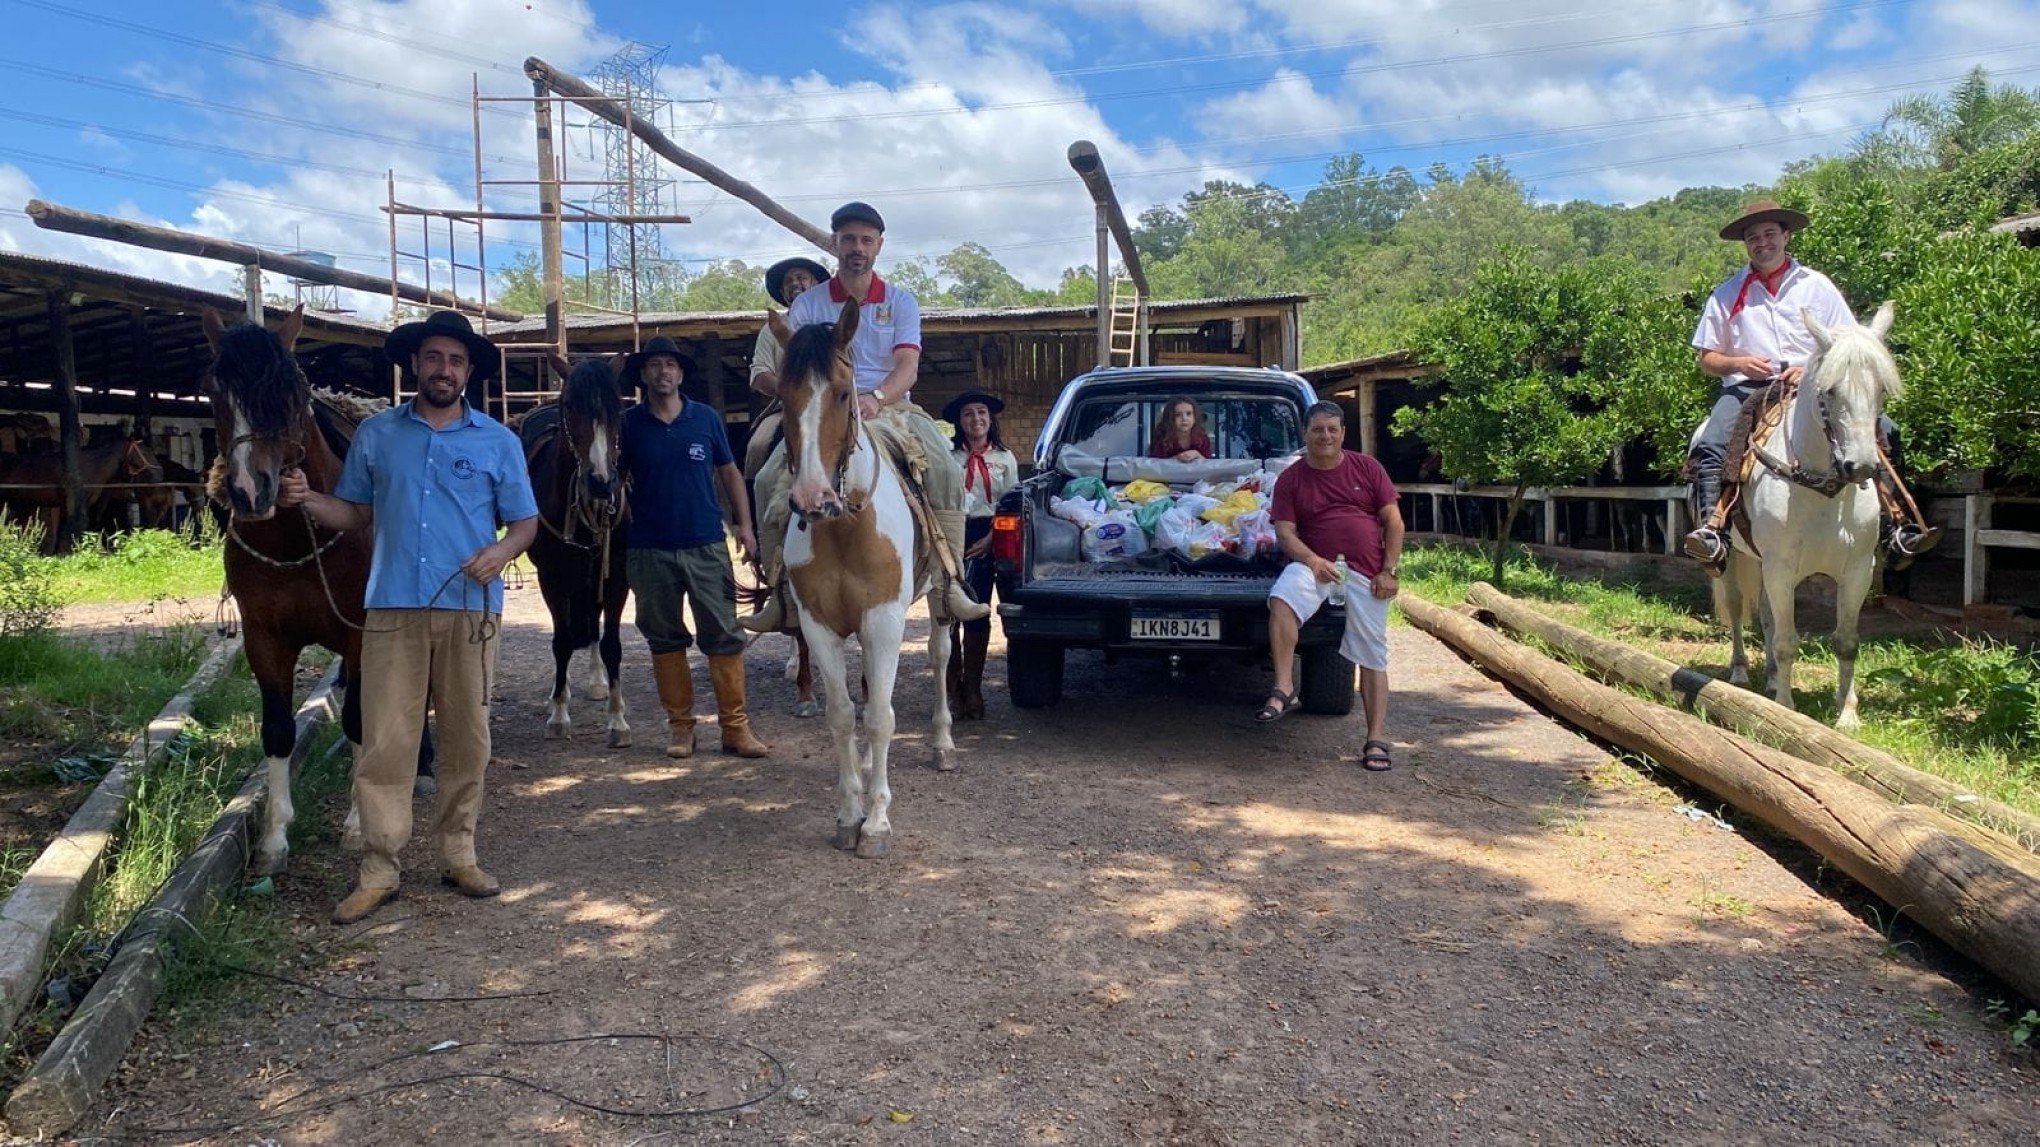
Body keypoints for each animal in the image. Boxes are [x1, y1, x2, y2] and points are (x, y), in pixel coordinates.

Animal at [198, 308, 430, 869]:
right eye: (214, 388)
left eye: (292, 388)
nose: (249, 490)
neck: (294, 541)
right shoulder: (265, 639)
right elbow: (278, 729)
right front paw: (274, 836)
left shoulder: (363, 633)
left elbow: (358, 719)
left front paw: (358, 821)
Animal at [522, 359, 624, 751]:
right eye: (571, 408)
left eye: (617, 409)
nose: (600, 481)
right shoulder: (552, 579)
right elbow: (562, 641)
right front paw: (558, 715)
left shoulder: (616, 577)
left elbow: (611, 644)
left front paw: (617, 720)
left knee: (593, 625)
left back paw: (598, 683)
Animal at [767, 300, 958, 853]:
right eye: (783, 396)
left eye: (842, 392)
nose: (812, 498)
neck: (845, 528)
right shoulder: (819, 626)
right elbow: (843, 715)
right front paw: (849, 814)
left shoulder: (885, 619)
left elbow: (880, 718)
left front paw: (876, 823)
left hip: (936, 603)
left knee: (939, 656)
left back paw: (943, 742)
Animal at [1705, 300, 1893, 726]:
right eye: (1830, 390)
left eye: (1881, 389)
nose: (1861, 467)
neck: (1822, 491)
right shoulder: (1781, 566)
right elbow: (1787, 641)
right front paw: (1786, 709)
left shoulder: (1858, 570)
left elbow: (1845, 641)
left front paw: (1846, 713)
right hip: (1734, 557)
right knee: (1738, 608)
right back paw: (1740, 671)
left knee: (1766, 615)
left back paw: (1773, 679)